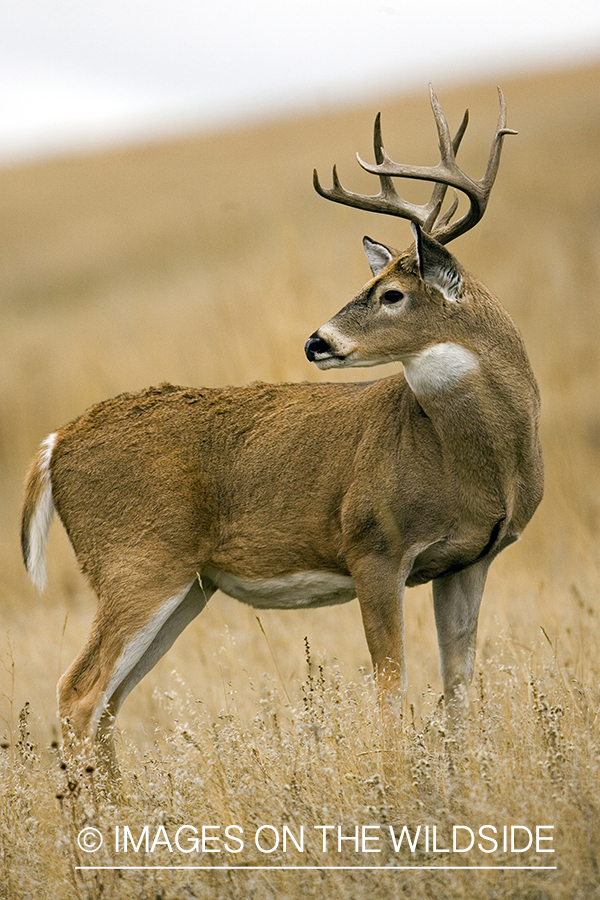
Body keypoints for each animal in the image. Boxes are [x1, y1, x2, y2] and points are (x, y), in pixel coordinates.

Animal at [21, 88, 544, 776]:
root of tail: (55, 442)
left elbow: (458, 687)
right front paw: (397, 785)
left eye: (393, 294)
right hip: (137, 561)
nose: (315, 341)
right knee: (79, 693)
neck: (471, 461)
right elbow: (391, 686)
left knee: (108, 703)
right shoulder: (373, 545)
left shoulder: (470, 559)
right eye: (373, 285)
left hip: (187, 585)